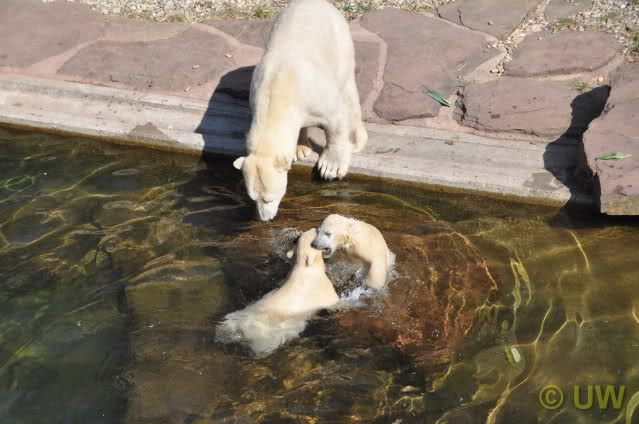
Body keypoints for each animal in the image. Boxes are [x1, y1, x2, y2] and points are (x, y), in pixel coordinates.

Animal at [215, 228, 339, 356]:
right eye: (315, 234)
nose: (316, 228)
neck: (304, 268)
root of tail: (241, 330)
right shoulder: (323, 288)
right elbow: (334, 301)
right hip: (264, 336)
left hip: (234, 318)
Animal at [233, 0, 368, 221]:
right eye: (253, 198)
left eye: (269, 198)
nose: (265, 219)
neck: (279, 89)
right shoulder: (257, 90)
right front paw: (300, 149)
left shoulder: (318, 95)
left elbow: (335, 120)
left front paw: (330, 167)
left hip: (339, 41)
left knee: (348, 87)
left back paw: (357, 139)